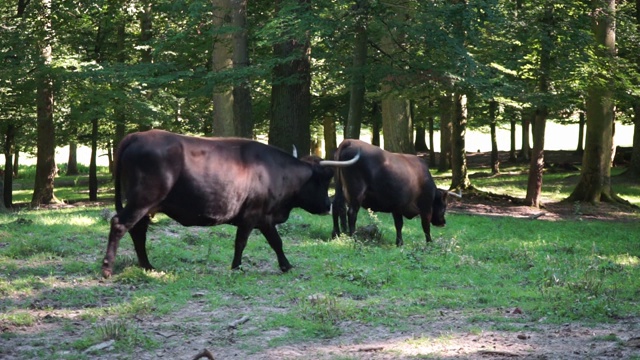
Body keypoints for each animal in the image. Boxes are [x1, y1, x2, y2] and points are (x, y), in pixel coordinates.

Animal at [102, 130, 358, 278]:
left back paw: (147, 266)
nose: (327, 205)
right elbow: (246, 242)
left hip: (145, 206)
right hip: (142, 201)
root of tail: (137, 136)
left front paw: (285, 265)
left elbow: (274, 242)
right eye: (323, 178)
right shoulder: (254, 215)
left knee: (138, 231)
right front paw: (237, 267)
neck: (276, 171)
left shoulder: (262, 218)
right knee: (120, 225)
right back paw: (107, 269)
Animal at [330, 139, 460, 246]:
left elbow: (398, 224)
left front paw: (399, 242)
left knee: (337, 206)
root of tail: (349, 141)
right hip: (356, 193)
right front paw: (429, 243)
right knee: (351, 213)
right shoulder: (426, 208)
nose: (443, 222)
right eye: (444, 206)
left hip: (340, 189)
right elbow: (425, 226)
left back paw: (336, 233)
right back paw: (354, 237)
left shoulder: (397, 207)